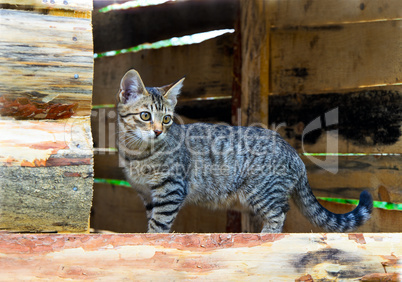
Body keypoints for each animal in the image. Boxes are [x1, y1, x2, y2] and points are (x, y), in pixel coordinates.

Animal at [114, 69, 372, 232]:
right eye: (145, 116)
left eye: (166, 119)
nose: (158, 131)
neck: (136, 153)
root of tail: (294, 153)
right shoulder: (147, 195)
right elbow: (152, 220)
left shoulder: (171, 188)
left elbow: (159, 224)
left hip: (262, 191)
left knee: (279, 213)